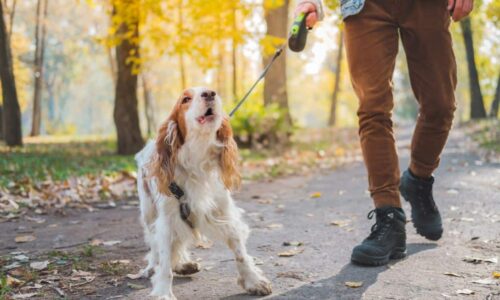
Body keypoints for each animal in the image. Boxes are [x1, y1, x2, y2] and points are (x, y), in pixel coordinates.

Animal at [135, 87, 272, 300]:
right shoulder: (167, 220)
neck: (197, 159)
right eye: (185, 99)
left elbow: (240, 252)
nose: (209, 93)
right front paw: (163, 292)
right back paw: (152, 267)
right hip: (149, 213)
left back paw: (183, 264)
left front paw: (253, 280)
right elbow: (164, 261)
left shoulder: (223, 212)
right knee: (154, 246)